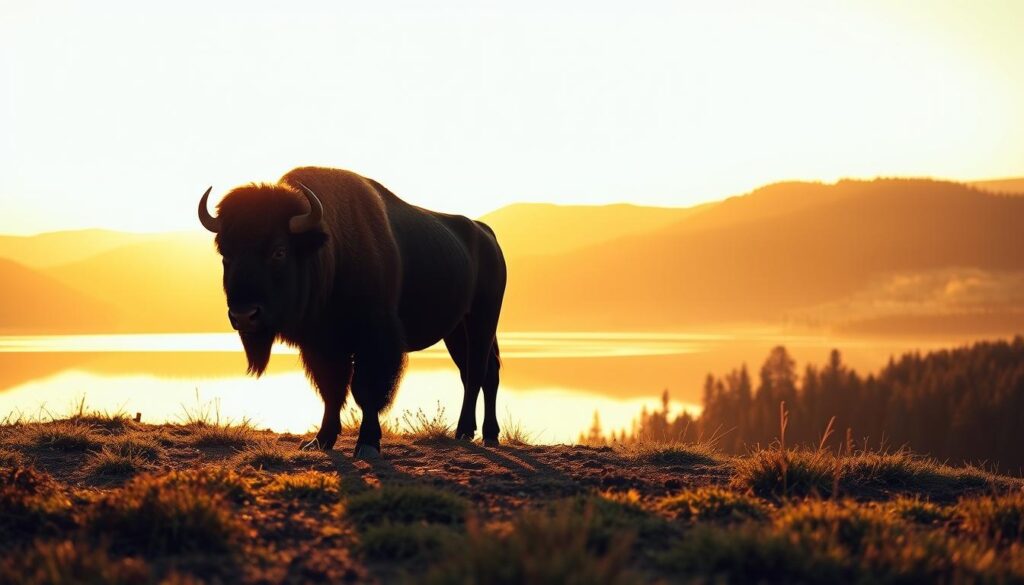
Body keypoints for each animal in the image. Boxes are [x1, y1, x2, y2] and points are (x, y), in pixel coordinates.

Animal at [198, 167, 507, 458]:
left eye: (279, 251)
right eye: (226, 254)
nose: (243, 315)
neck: (331, 252)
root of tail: (487, 236)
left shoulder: (374, 342)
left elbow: (365, 390)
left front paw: (368, 443)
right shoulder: (321, 346)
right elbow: (331, 391)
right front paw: (320, 440)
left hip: (481, 320)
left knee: (477, 372)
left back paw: (465, 431)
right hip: (456, 331)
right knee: (483, 373)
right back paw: (489, 434)